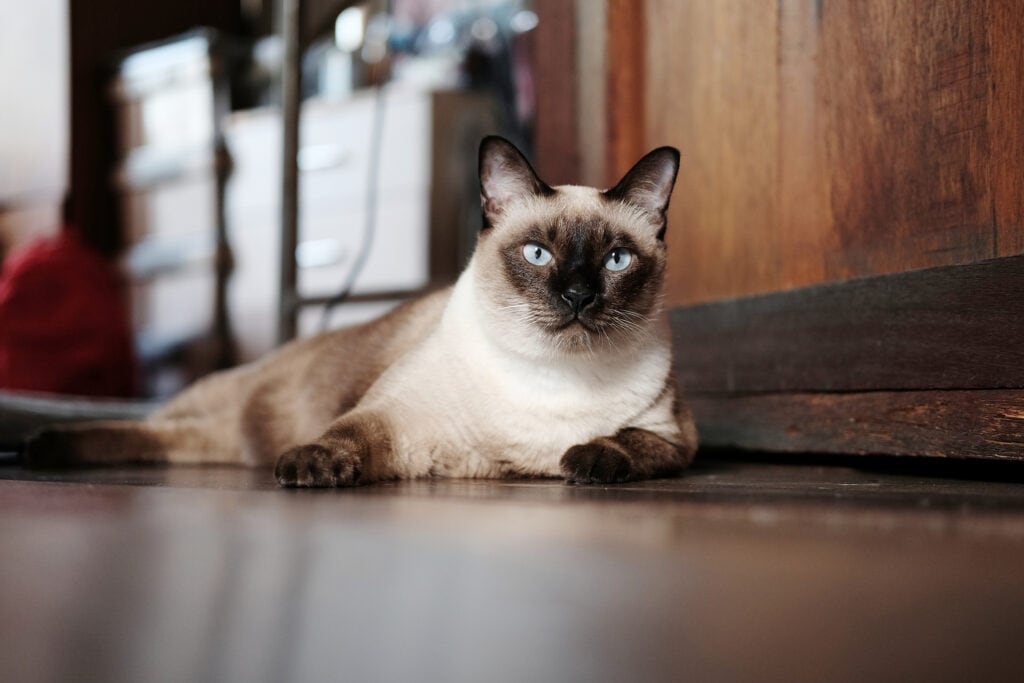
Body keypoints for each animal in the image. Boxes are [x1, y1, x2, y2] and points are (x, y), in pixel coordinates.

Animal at [25, 136, 696, 485]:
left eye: (616, 261)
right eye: (537, 254)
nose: (578, 297)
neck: (551, 377)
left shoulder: (675, 438)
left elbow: (625, 443)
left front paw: (584, 460)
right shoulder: (389, 421)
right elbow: (340, 436)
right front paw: (308, 468)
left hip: (214, 440)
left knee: (164, 439)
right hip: (213, 398)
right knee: (146, 422)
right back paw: (40, 443)